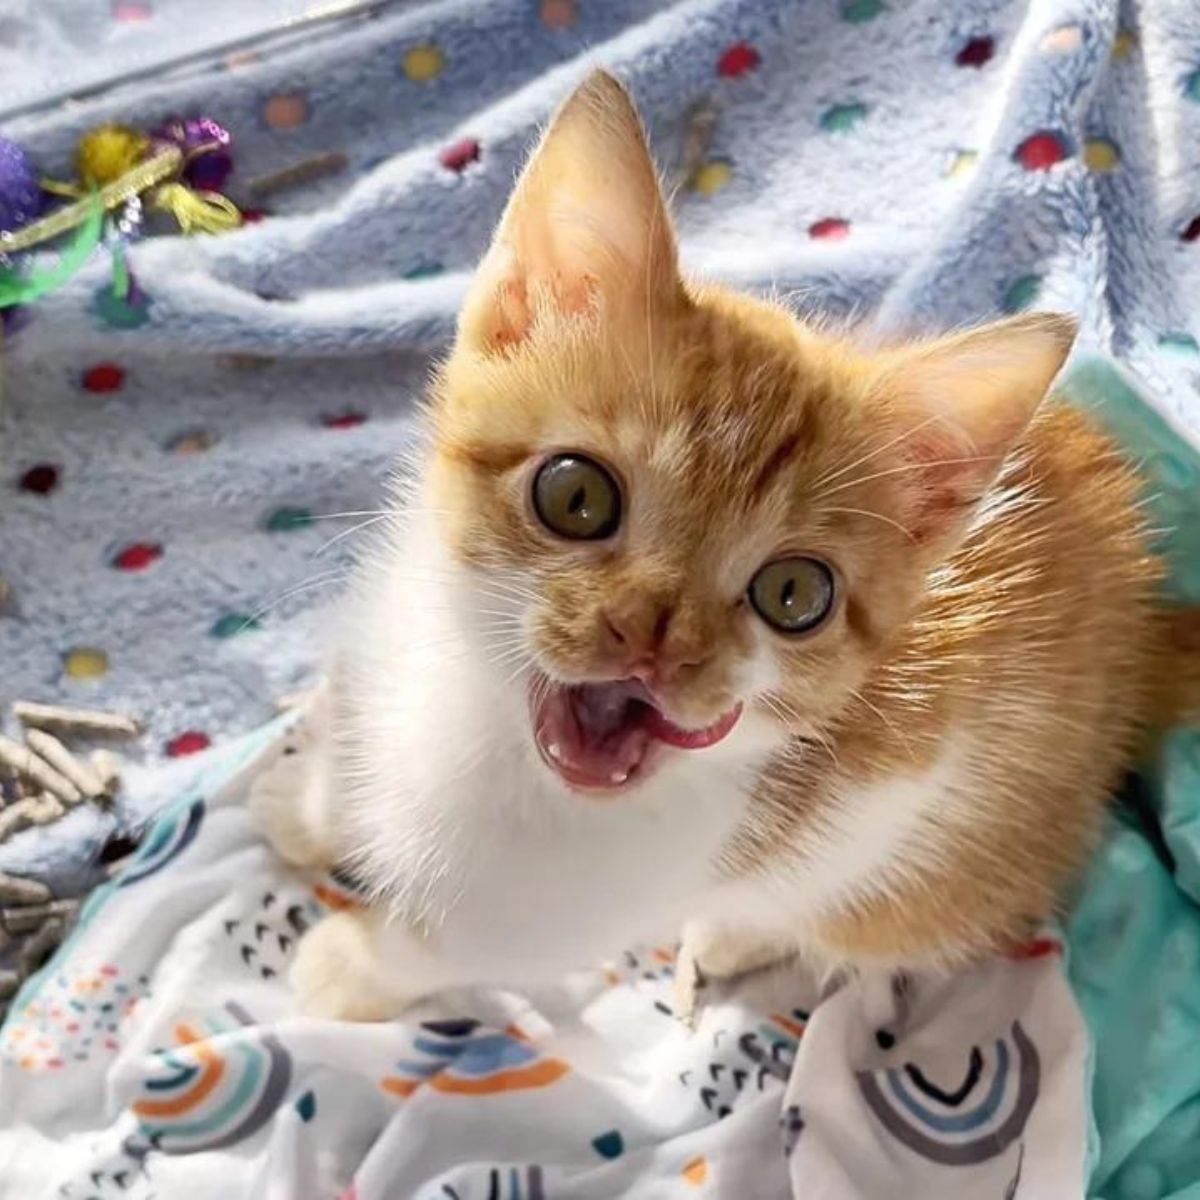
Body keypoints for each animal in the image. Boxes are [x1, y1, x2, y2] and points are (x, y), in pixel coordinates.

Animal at [255, 68, 1190, 1022]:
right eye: (575, 495)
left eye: (795, 596)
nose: (652, 637)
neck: (478, 707)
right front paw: (310, 800)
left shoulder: (556, 909)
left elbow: (442, 946)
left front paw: (349, 967)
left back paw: (733, 938)